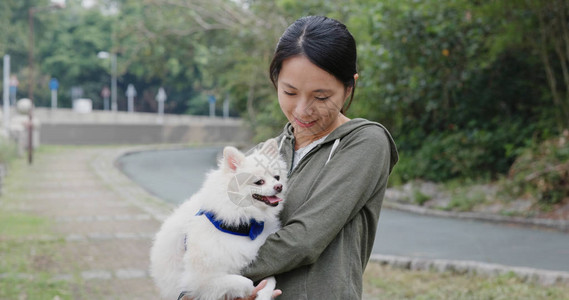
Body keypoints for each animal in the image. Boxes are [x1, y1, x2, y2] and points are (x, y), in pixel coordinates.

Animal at [150, 140, 286, 300]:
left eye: (277, 177)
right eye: (259, 182)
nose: (279, 186)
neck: (243, 224)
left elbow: (271, 279)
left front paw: (264, 294)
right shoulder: (199, 280)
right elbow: (244, 281)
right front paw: (250, 290)